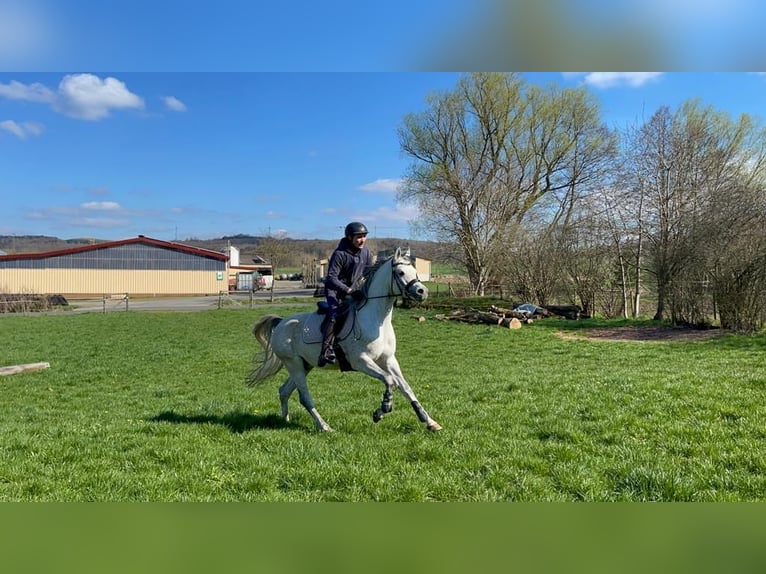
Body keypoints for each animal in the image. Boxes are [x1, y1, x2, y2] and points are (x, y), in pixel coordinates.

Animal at [250, 248, 444, 432]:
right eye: (401, 272)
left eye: (415, 271)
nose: (422, 292)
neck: (377, 320)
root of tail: (281, 322)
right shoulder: (361, 361)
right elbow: (390, 380)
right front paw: (382, 410)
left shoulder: (388, 360)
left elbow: (405, 386)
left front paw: (429, 421)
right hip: (294, 364)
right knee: (304, 396)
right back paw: (324, 426)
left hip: (305, 365)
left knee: (284, 391)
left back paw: (285, 420)